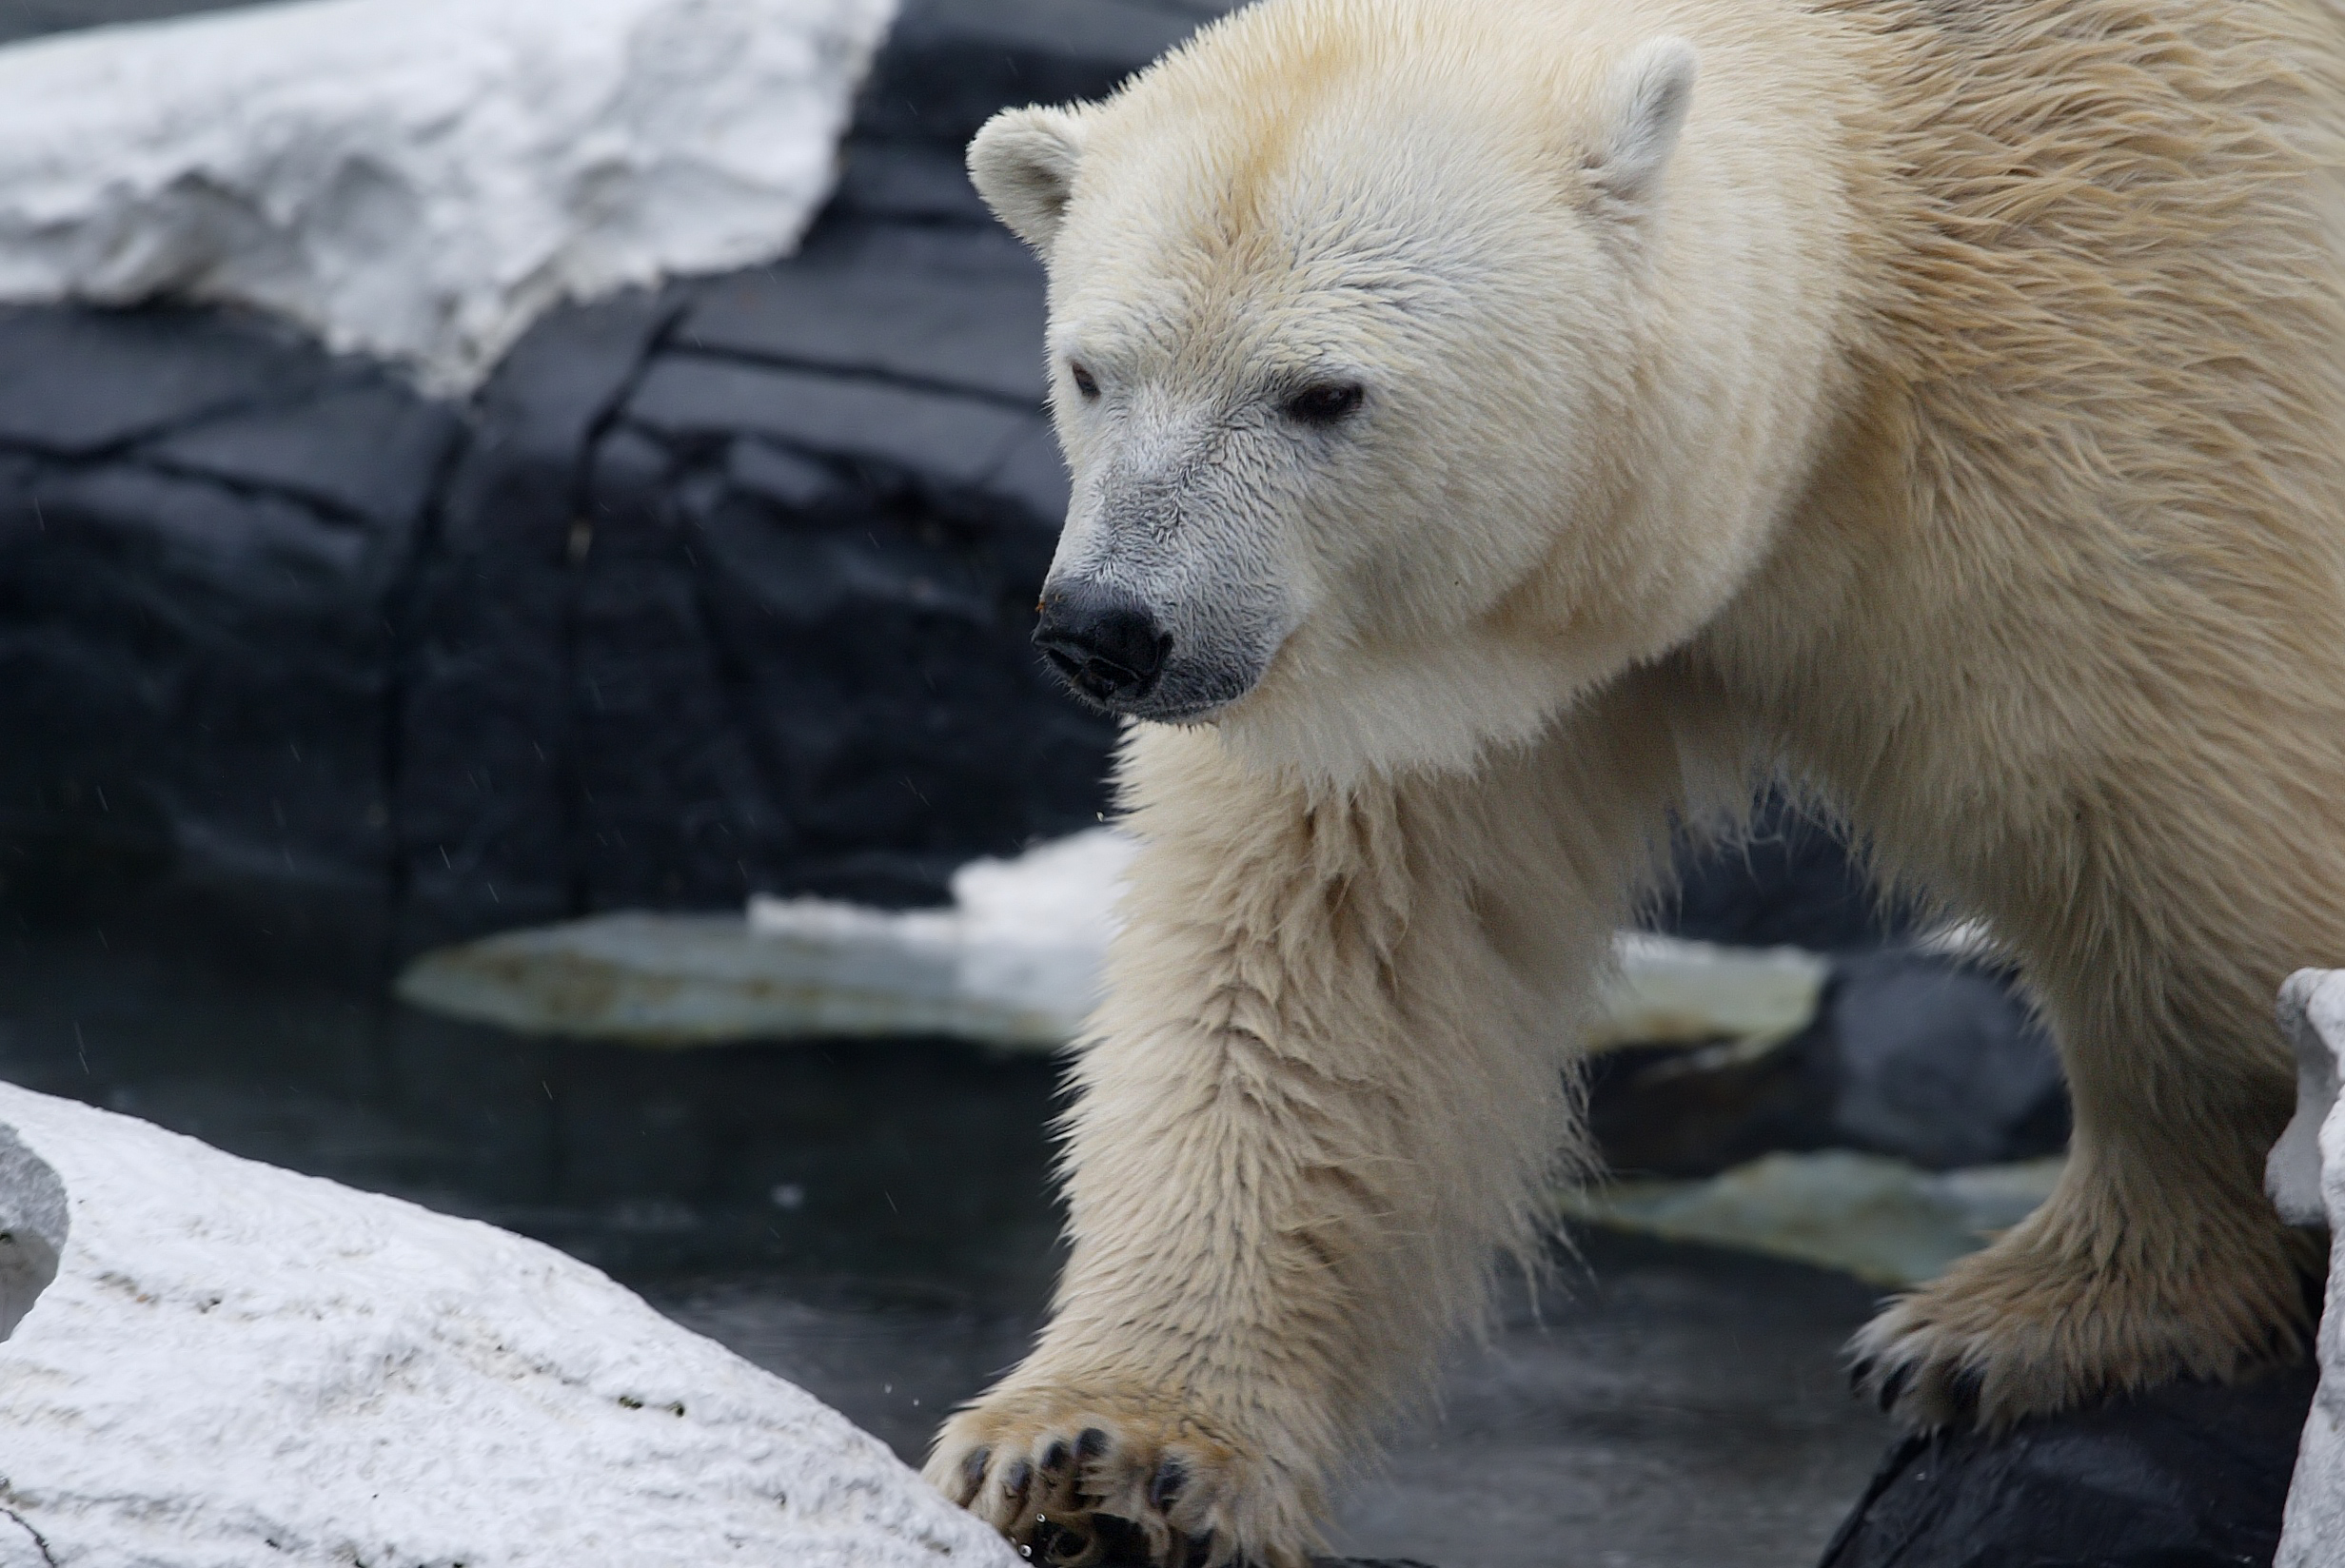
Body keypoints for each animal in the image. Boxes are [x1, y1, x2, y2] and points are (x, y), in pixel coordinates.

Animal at [923, 0, 2345, 1556]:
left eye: (1322, 393)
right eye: (1092, 370)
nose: (1110, 627)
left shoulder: (2126, 391)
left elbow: (2172, 832)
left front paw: (2023, 1320)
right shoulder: (1419, 672)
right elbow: (1325, 959)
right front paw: (1099, 1458)